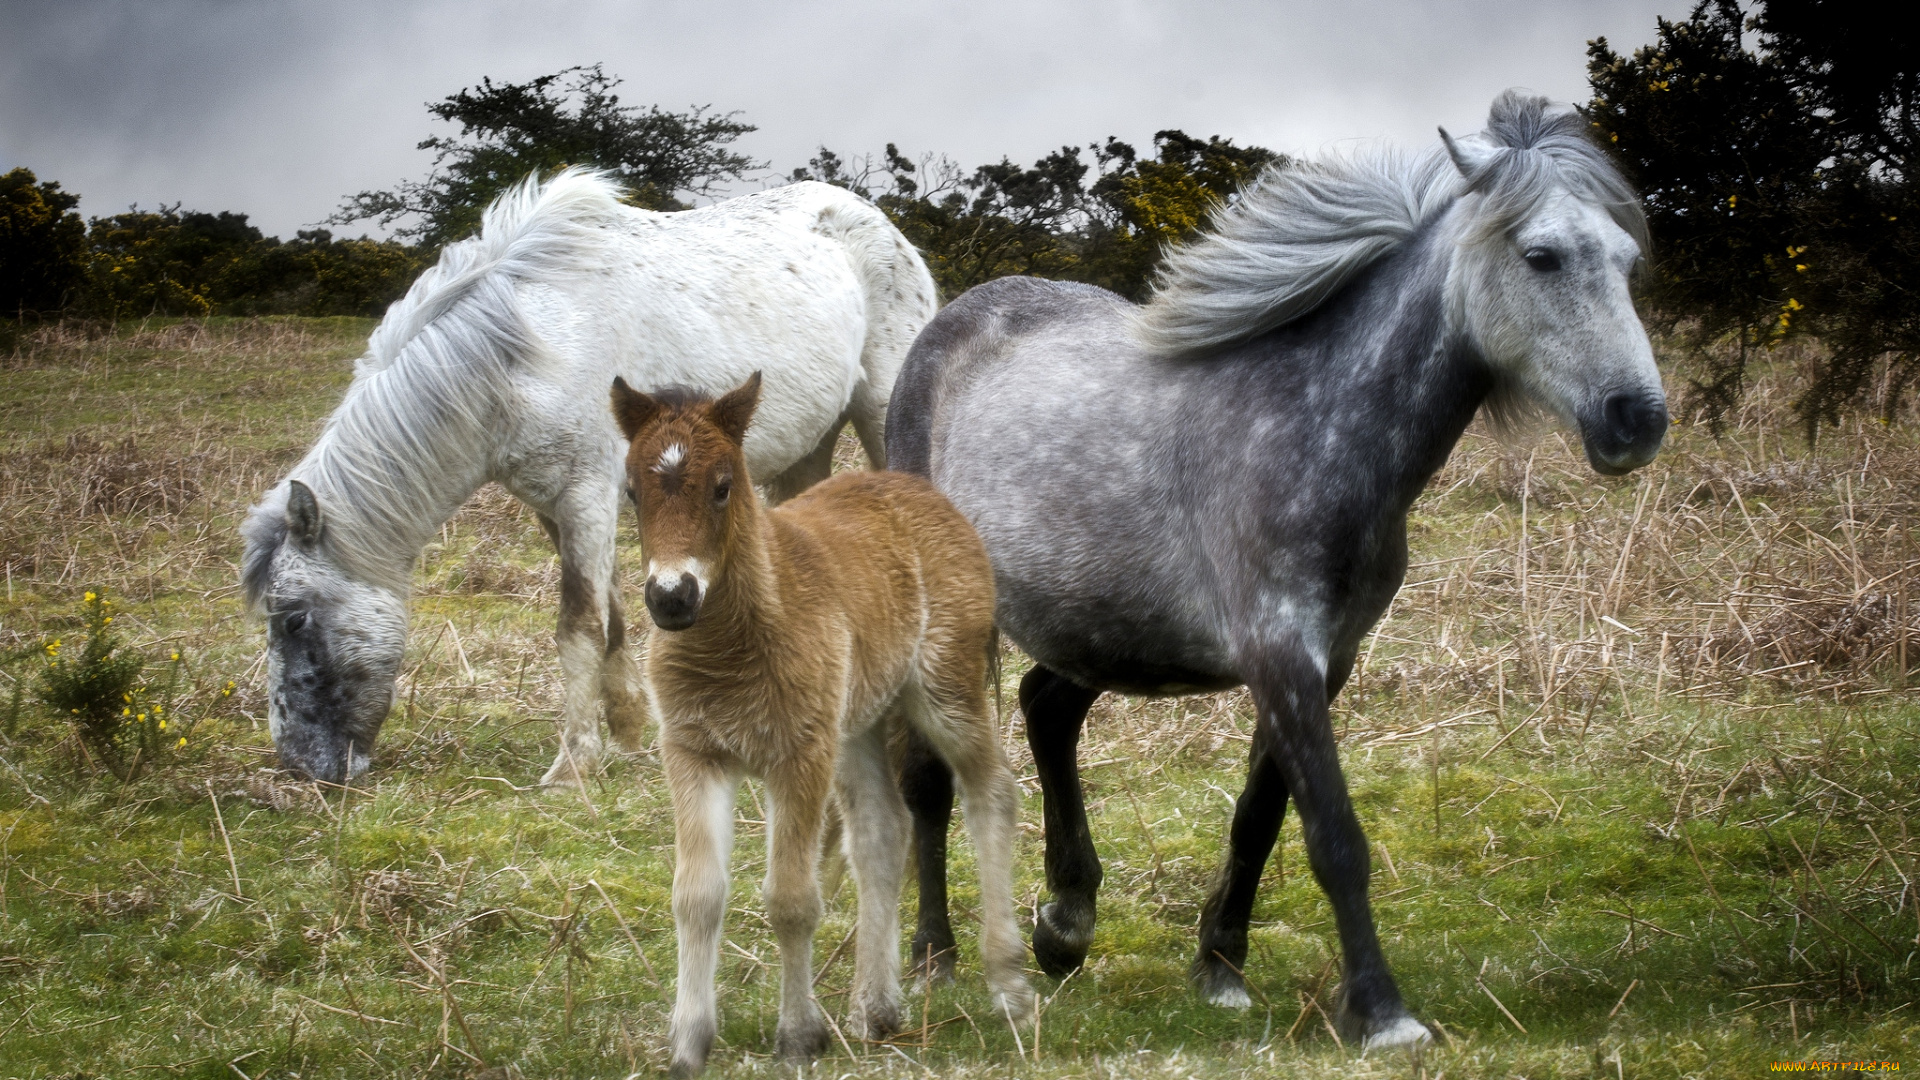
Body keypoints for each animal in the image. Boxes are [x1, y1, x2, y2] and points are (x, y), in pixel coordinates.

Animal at [236, 171, 940, 787]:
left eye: (293, 620)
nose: (301, 766)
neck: (527, 354)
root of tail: (876, 222)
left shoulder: (586, 498)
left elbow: (577, 625)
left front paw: (572, 765)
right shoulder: (557, 507)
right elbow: (612, 615)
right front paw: (627, 732)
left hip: (879, 411)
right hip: (805, 451)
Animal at [614, 368, 1036, 1068]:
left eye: (723, 486)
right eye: (630, 490)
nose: (672, 598)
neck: (733, 643)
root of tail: (917, 487)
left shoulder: (798, 753)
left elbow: (791, 899)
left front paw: (798, 1037)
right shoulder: (694, 752)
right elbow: (696, 896)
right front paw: (689, 1043)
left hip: (944, 689)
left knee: (992, 793)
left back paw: (1009, 985)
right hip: (858, 723)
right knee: (882, 829)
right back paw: (877, 1008)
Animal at [883, 92, 1666, 1045]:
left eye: (1627, 260)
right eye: (1541, 255)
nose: (1636, 419)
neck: (1314, 421)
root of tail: (945, 327)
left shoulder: (1325, 661)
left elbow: (1258, 819)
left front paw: (1219, 967)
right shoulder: (1278, 649)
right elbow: (1333, 833)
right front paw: (1381, 1012)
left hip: (1098, 621)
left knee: (1046, 708)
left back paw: (1066, 924)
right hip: (951, 620)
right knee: (926, 779)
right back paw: (934, 958)